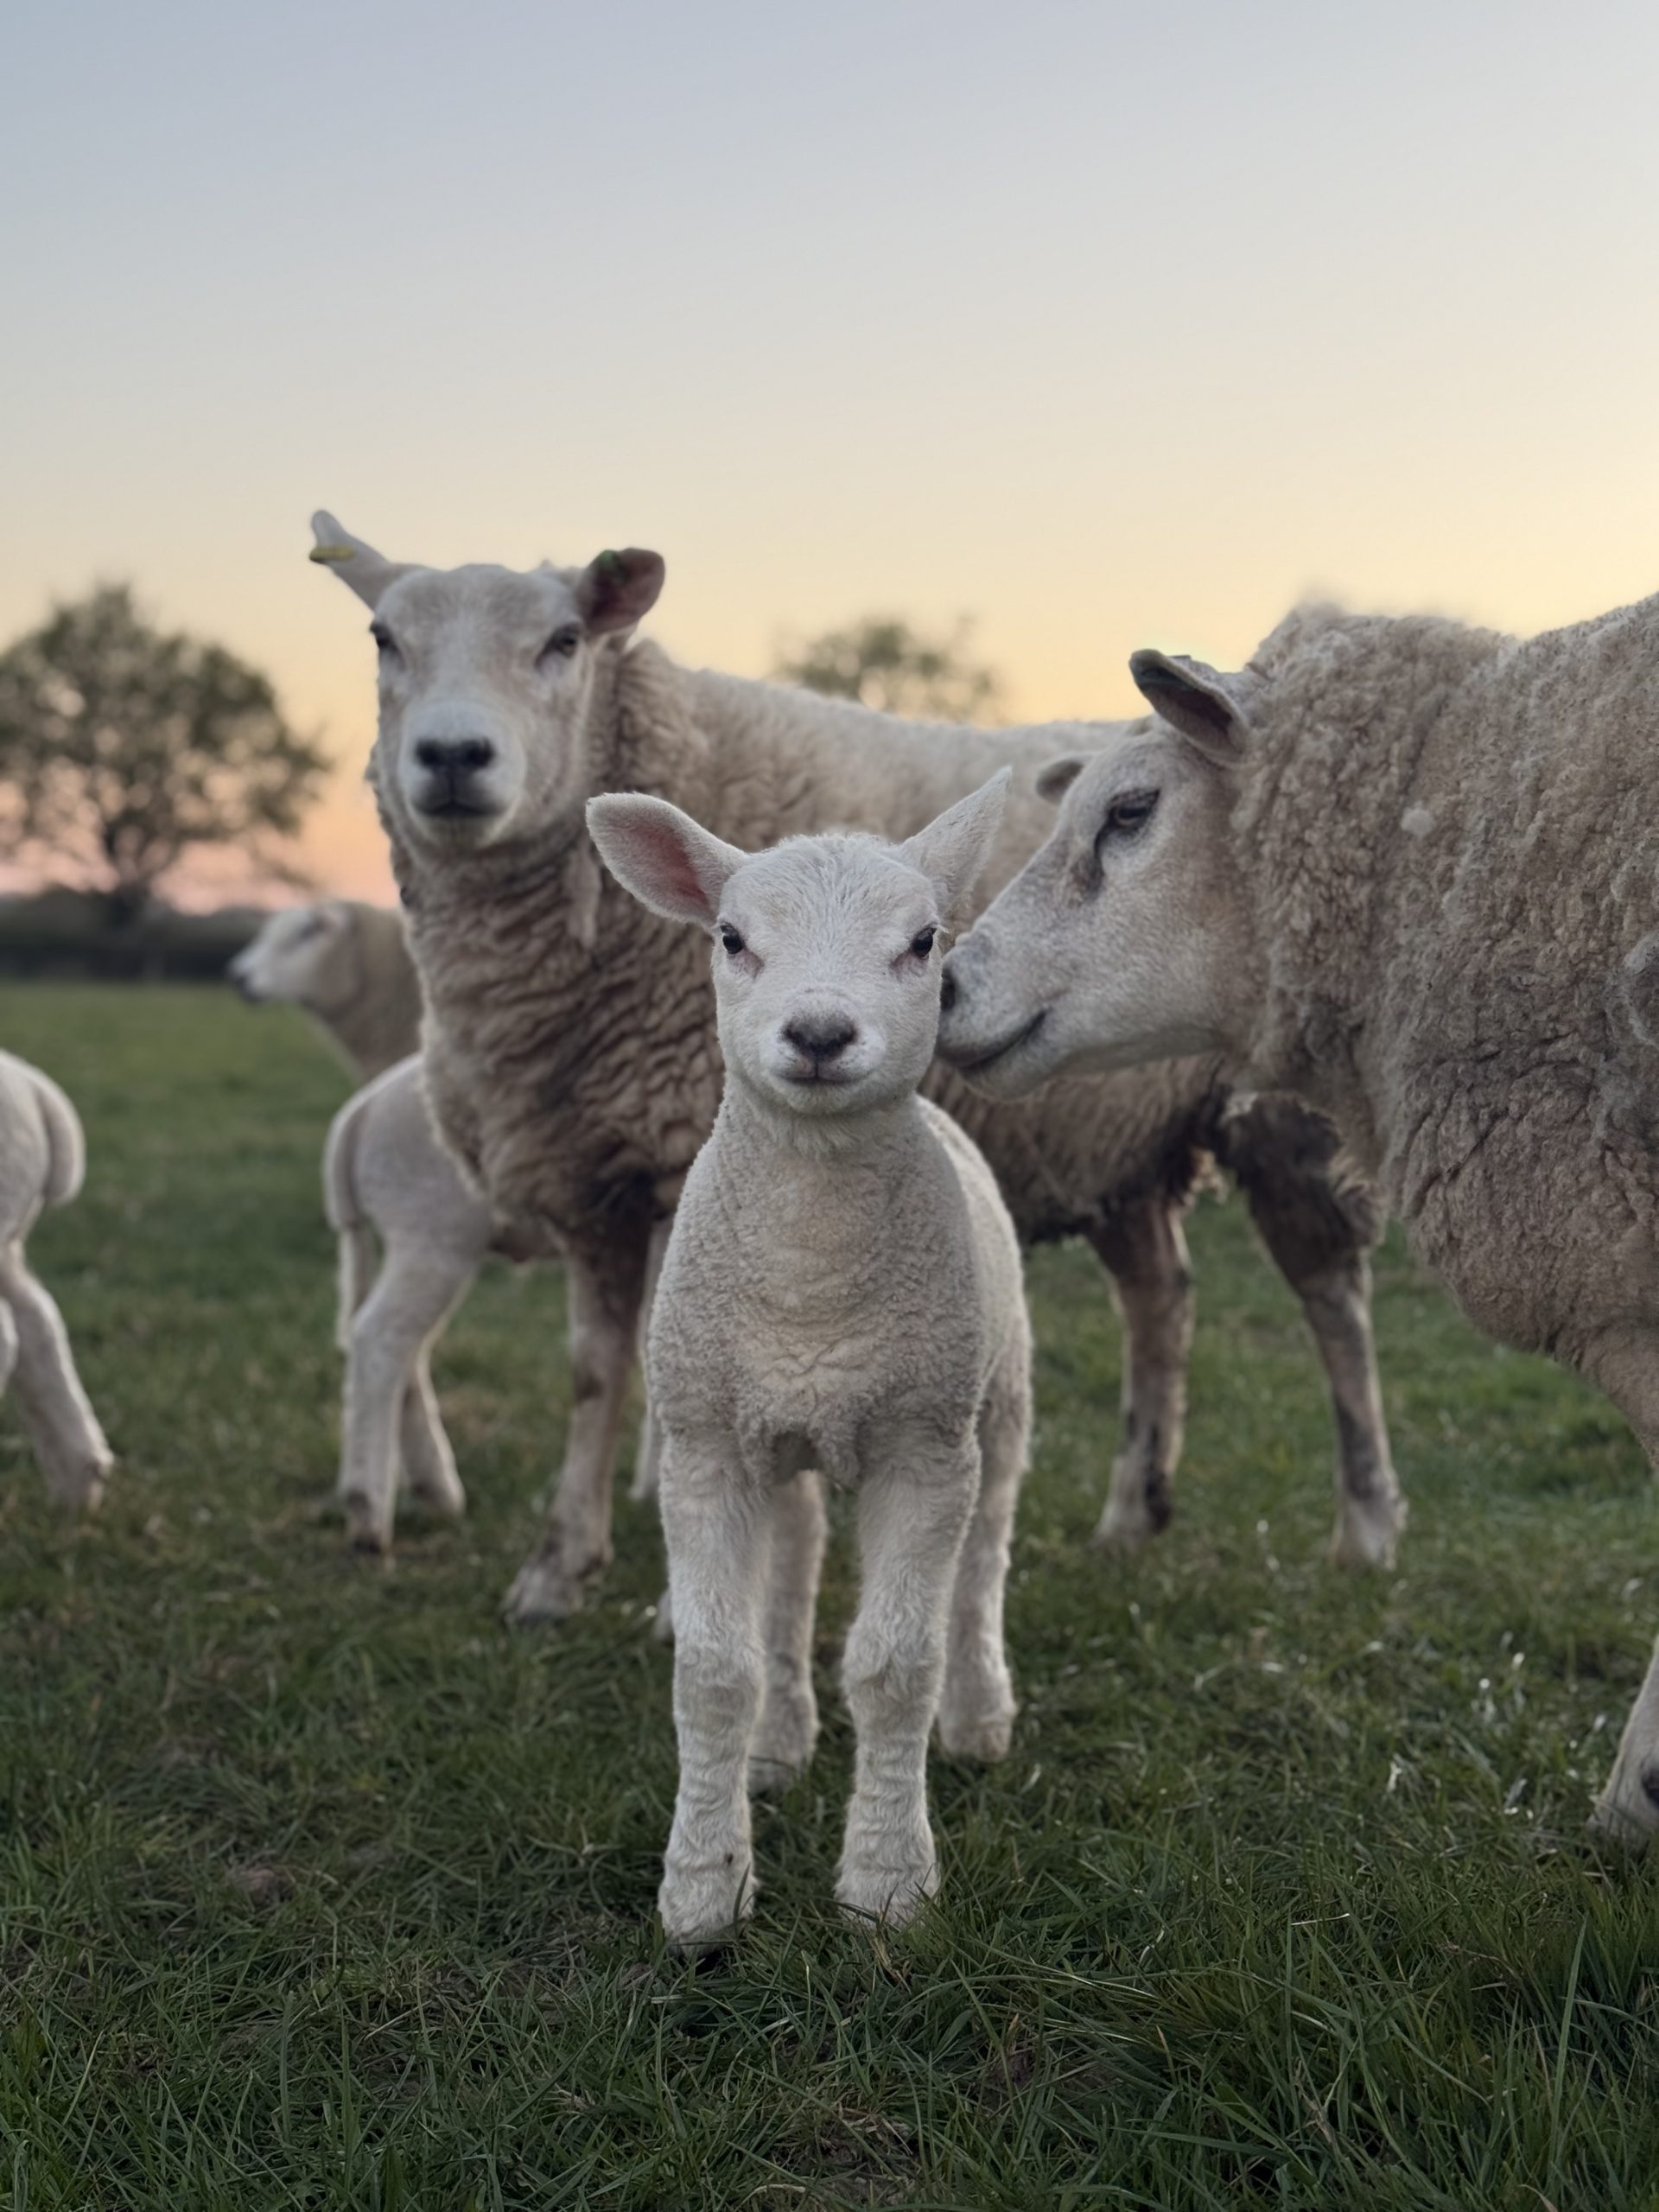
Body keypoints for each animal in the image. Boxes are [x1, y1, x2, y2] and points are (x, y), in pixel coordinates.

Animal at [307, 513, 1401, 1624]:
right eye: (382, 638)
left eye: (565, 640)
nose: (452, 757)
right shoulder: (591, 1175)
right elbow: (593, 1372)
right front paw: (559, 1564)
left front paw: (684, 1587)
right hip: (1114, 1136)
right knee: (1161, 1298)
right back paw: (1134, 1510)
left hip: (1285, 1120)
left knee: (1333, 1302)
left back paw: (1365, 1522)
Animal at [587, 774, 1030, 1943]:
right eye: (732, 938)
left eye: (924, 942)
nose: (822, 1031)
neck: (813, 1278)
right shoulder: (700, 1444)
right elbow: (712, 1671)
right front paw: (703, 1887)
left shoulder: (925, 1448)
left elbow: (896, 1665)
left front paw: (887, 1883)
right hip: (774, 1428)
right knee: (792, 1558)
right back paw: (779, 1742)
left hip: (997, 1398)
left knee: (985, 1559)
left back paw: (980, 1715)